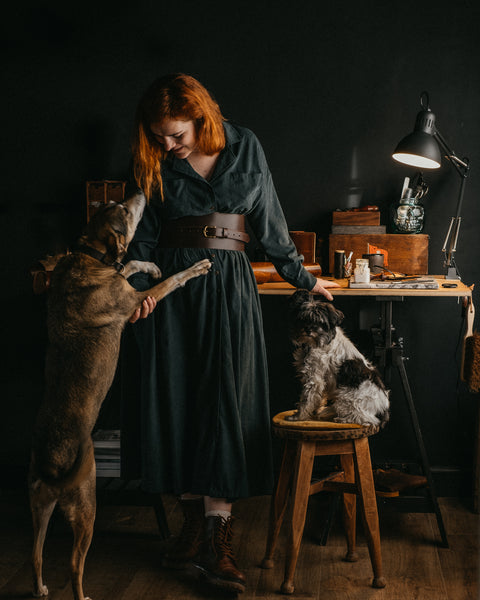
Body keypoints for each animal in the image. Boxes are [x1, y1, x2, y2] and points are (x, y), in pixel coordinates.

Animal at [28, 192, 211, 600]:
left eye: (117, 204)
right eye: (125, 211)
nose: (142, 194)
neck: (90, 255)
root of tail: (51, 466)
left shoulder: (123, 279)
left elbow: (128, 264)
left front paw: (149, 263)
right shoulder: (138, 300)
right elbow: (172, 279)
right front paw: (196, 267)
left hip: (41, 509)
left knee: (36, 555)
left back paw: (41, 587)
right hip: (86, 506)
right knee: (74, 564)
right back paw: (81, 594)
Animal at [284, 290, 390, 426]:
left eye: (321, 322)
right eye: (302, 319)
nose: (308, 329)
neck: (320, 341)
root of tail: (383, 408)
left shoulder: (314, 378)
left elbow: (306, 399)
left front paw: (298, 416)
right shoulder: (320, 379)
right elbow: (318, 397)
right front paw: (315, 410)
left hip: (346, 398)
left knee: (367, 419)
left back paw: (342, 419)